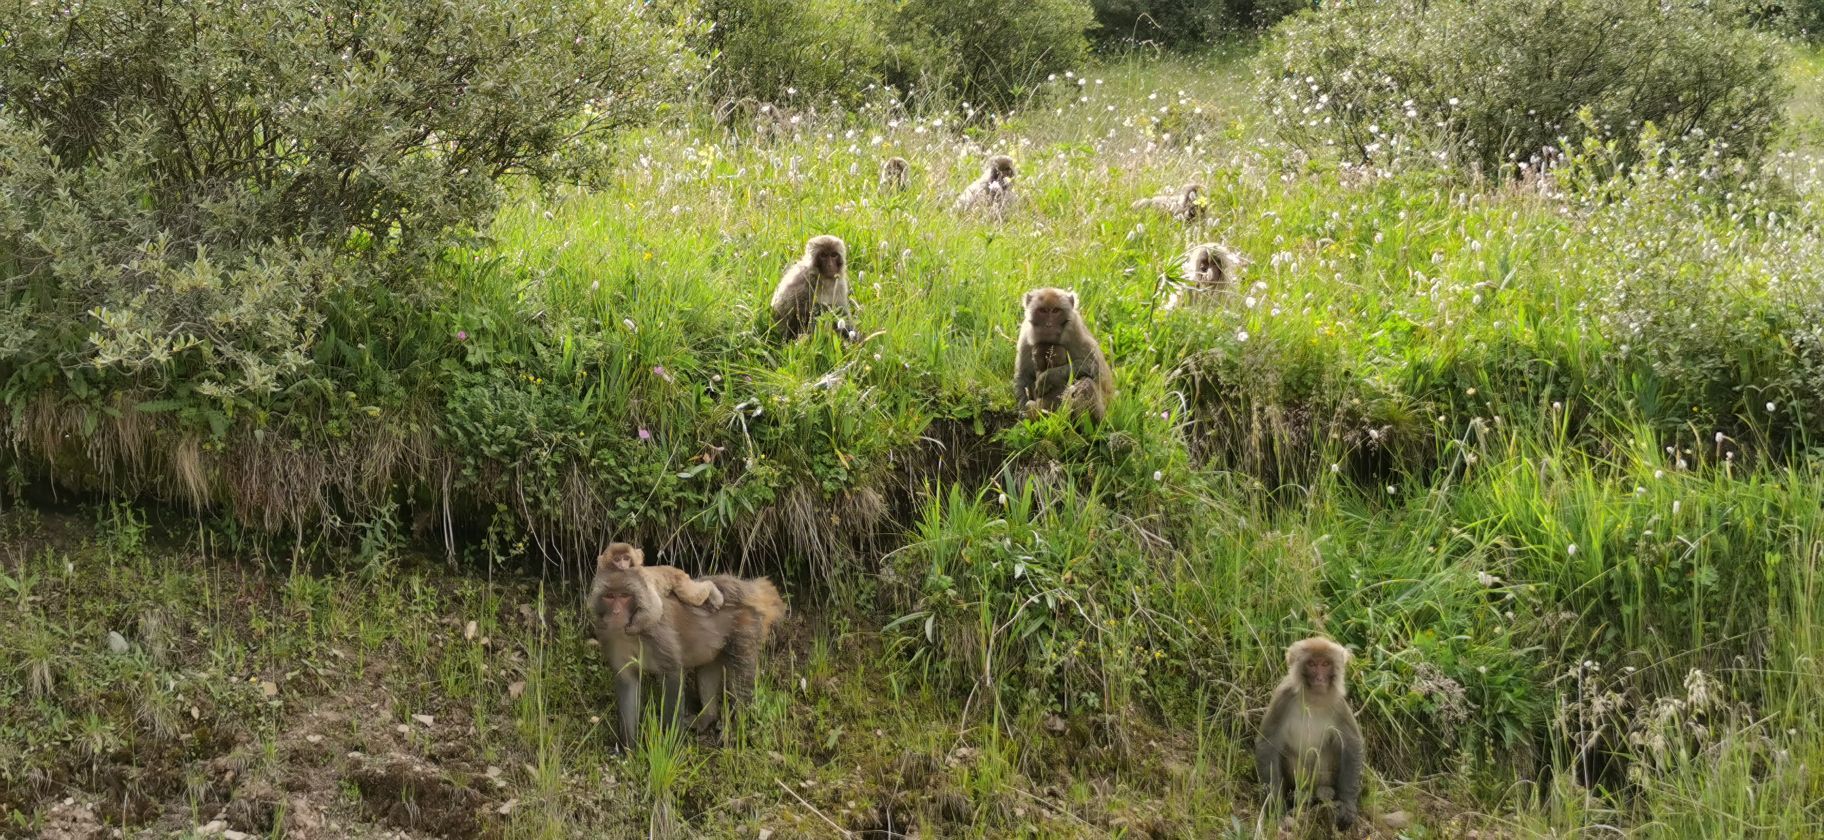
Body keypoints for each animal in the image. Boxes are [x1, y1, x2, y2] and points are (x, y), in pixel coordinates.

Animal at [583, 553, 784, 743]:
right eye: (609, 596)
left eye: (624, 596)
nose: (616, 613)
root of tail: (749, 588)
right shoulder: (611, 638)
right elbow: (627, 682)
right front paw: (628, 747)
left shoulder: (658, 633)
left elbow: (672, 676)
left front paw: (670, 742)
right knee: (707, 668)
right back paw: (707, 717)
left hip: (746, 626)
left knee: (740, 675)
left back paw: (735, 727)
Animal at [590, 539, 718, 630]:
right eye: (617, 559)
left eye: (626, 558)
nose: (622, 566)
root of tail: (671, 568)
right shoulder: (601, 577)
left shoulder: (639, 578)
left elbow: (653, 606)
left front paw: (633, 628)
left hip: (679, 578)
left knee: (692, 595)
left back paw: (712, 589)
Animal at [1014, 287, 1108, 422]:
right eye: (1042, 311)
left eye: (1055, 311)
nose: (1048, 325)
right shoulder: (1025, 335)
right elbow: (1023, 376)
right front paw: (1023, 411)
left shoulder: (1075, 331)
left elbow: (1095, 368)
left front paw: (1047, 378)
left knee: (1086, 383)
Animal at [1254, 634, 1371, 823]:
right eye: (1311, 664)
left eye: (1325, 664)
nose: (1319, 678)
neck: (1312, 699)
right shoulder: (1283, 697)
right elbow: (1267, 744)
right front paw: (1274, 806)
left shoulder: (1338, 704)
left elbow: (1352, 743)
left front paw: (1347, 805)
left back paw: (1325, 793)